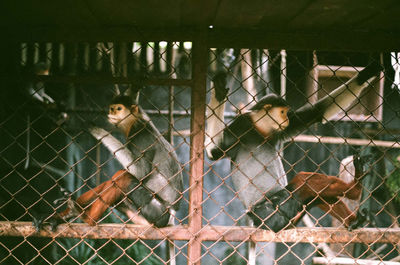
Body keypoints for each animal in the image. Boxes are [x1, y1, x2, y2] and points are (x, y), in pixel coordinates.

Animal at [38, 88, 183, 227]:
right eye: (112, 108)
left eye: (119, 109)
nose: (112, 113)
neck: (136, 120)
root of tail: (172, 217)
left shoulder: (140, 135)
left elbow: (140, 171)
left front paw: (96, 130)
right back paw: (71, 211)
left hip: (156, 213)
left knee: (123, 176)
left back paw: (85, 216)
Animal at [205, 62, 382, 231]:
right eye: (283, 112)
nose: (287, 119)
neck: (261, 129)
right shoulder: (241, 124)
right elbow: (214, 152)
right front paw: (219, 92)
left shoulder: (279, 130)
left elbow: (318, 112)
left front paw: (366, 74)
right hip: (273, 211)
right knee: (303, 181)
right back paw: (354, 190)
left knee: (316, 194)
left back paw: (355, 220)